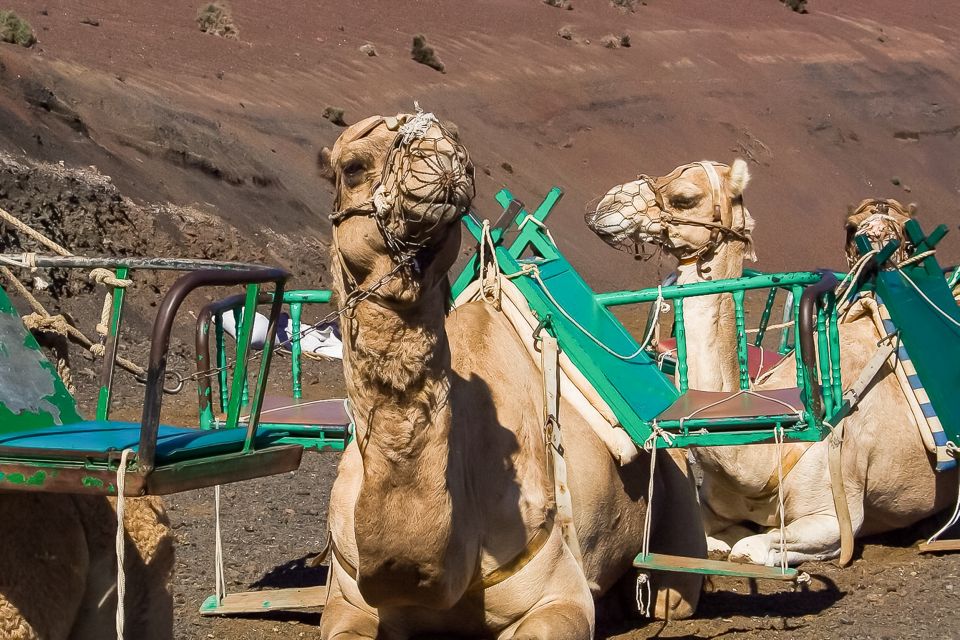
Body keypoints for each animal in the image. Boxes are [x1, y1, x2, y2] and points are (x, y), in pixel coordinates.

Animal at [318, 112, 700, 636]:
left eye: (457, 142)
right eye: (352, 167)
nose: (441, 157)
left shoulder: (558, 591)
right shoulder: (346, 599)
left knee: (670, 594)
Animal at [588, 162, 956, 568]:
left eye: (685, 197)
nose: (604, 207)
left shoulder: (833, 518)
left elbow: (750, 548)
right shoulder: (711, 502)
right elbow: (707, 535)